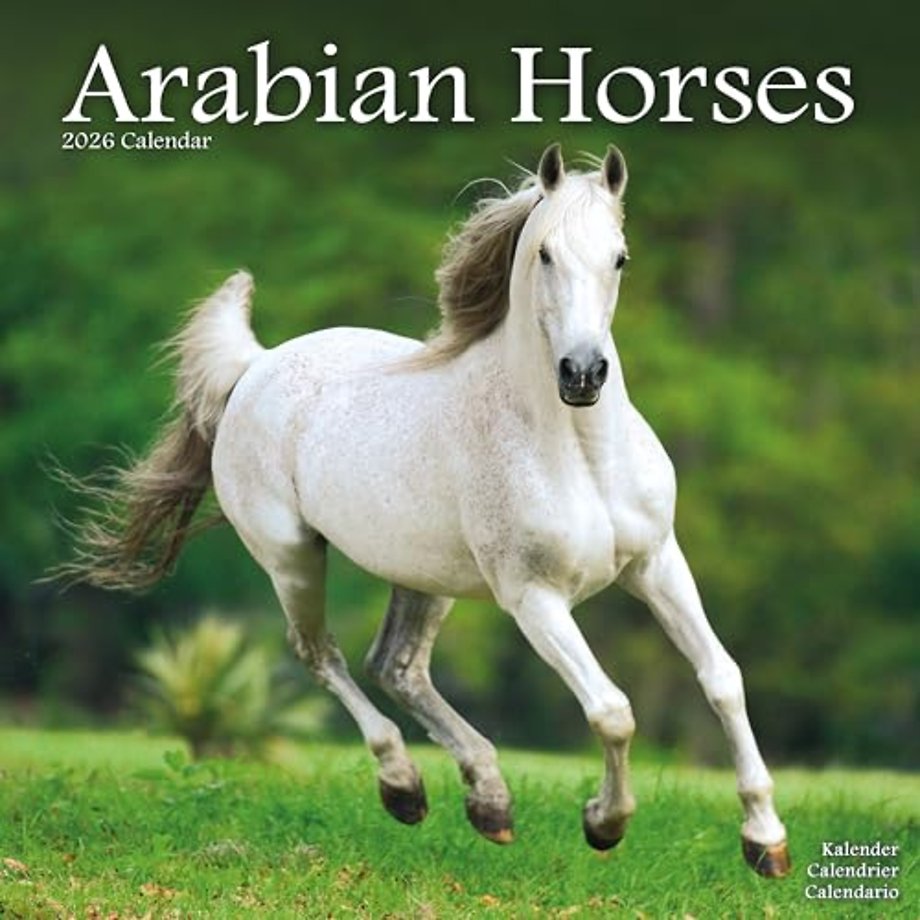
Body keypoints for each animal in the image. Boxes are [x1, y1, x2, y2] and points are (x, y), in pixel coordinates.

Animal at [63, 144, 789, 877]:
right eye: (546, 254)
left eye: (620, 257)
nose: (582, 374)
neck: (580, 454)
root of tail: (256, 364)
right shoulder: (534, 598)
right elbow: (612, 710)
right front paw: (603, 823)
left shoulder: (657, 563)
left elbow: (722, 679)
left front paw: (765, 839)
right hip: (292, 558)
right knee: (321, 654)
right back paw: (405, 788)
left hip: (423, 576)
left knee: (397, 666)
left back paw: (489, 803)